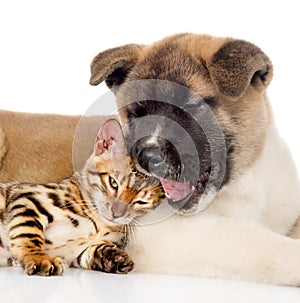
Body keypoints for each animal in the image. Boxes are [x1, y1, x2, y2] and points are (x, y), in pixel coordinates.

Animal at [0, 120, 164, 276]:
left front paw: (113, 257)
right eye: (113, 183)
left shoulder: (76, 253)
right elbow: (29, 233)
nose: (116, 214)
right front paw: (40, 259)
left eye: (141, 202)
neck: (99, 223)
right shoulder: (29, 197)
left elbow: (92, 252)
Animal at [89, 33, 300, 288]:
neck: (246, 186)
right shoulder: (165, 234)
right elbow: (262, 244)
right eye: (137, 113)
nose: (147, 157)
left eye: (190, 106)